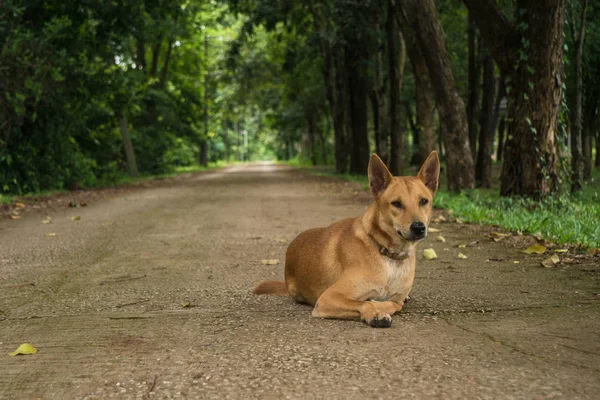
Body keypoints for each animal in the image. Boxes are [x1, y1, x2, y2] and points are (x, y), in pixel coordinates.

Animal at [253, 152, 440, 326]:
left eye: (424, 201)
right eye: (396, 203)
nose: (418, 227)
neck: (388, 255)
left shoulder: (396, 299)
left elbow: (393, 303)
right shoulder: (328, 298)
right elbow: (366, 303)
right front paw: (375, 312)